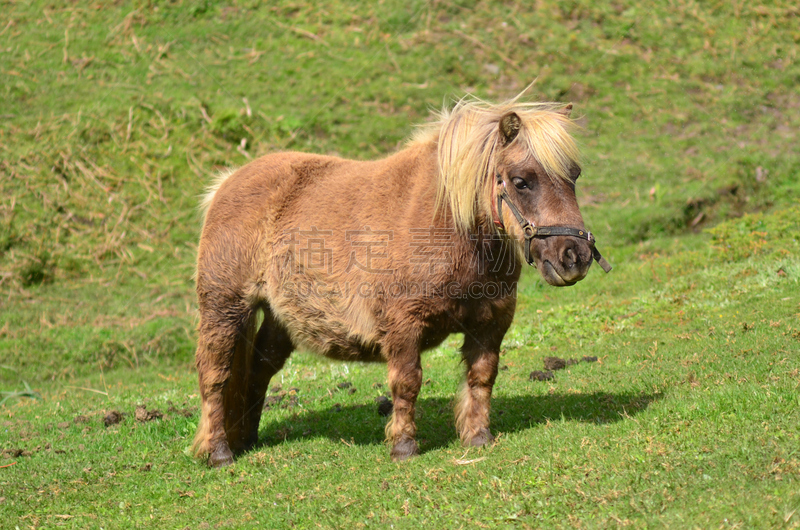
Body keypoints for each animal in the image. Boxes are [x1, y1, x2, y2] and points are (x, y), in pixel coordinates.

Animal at [191, 93, 608, 464]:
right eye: (521, 181)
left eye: (573, 176)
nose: (574, 257)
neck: (447, 227)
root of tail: (225, 184)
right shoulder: (403, 326)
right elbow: (407, 382)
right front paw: (404, 447)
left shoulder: (491, 323)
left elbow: (481, 378)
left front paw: (478, 437)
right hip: (225, 309)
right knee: (215, 376)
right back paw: (220, 453)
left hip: (280, 319)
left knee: (259, 370)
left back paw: (248, 438)